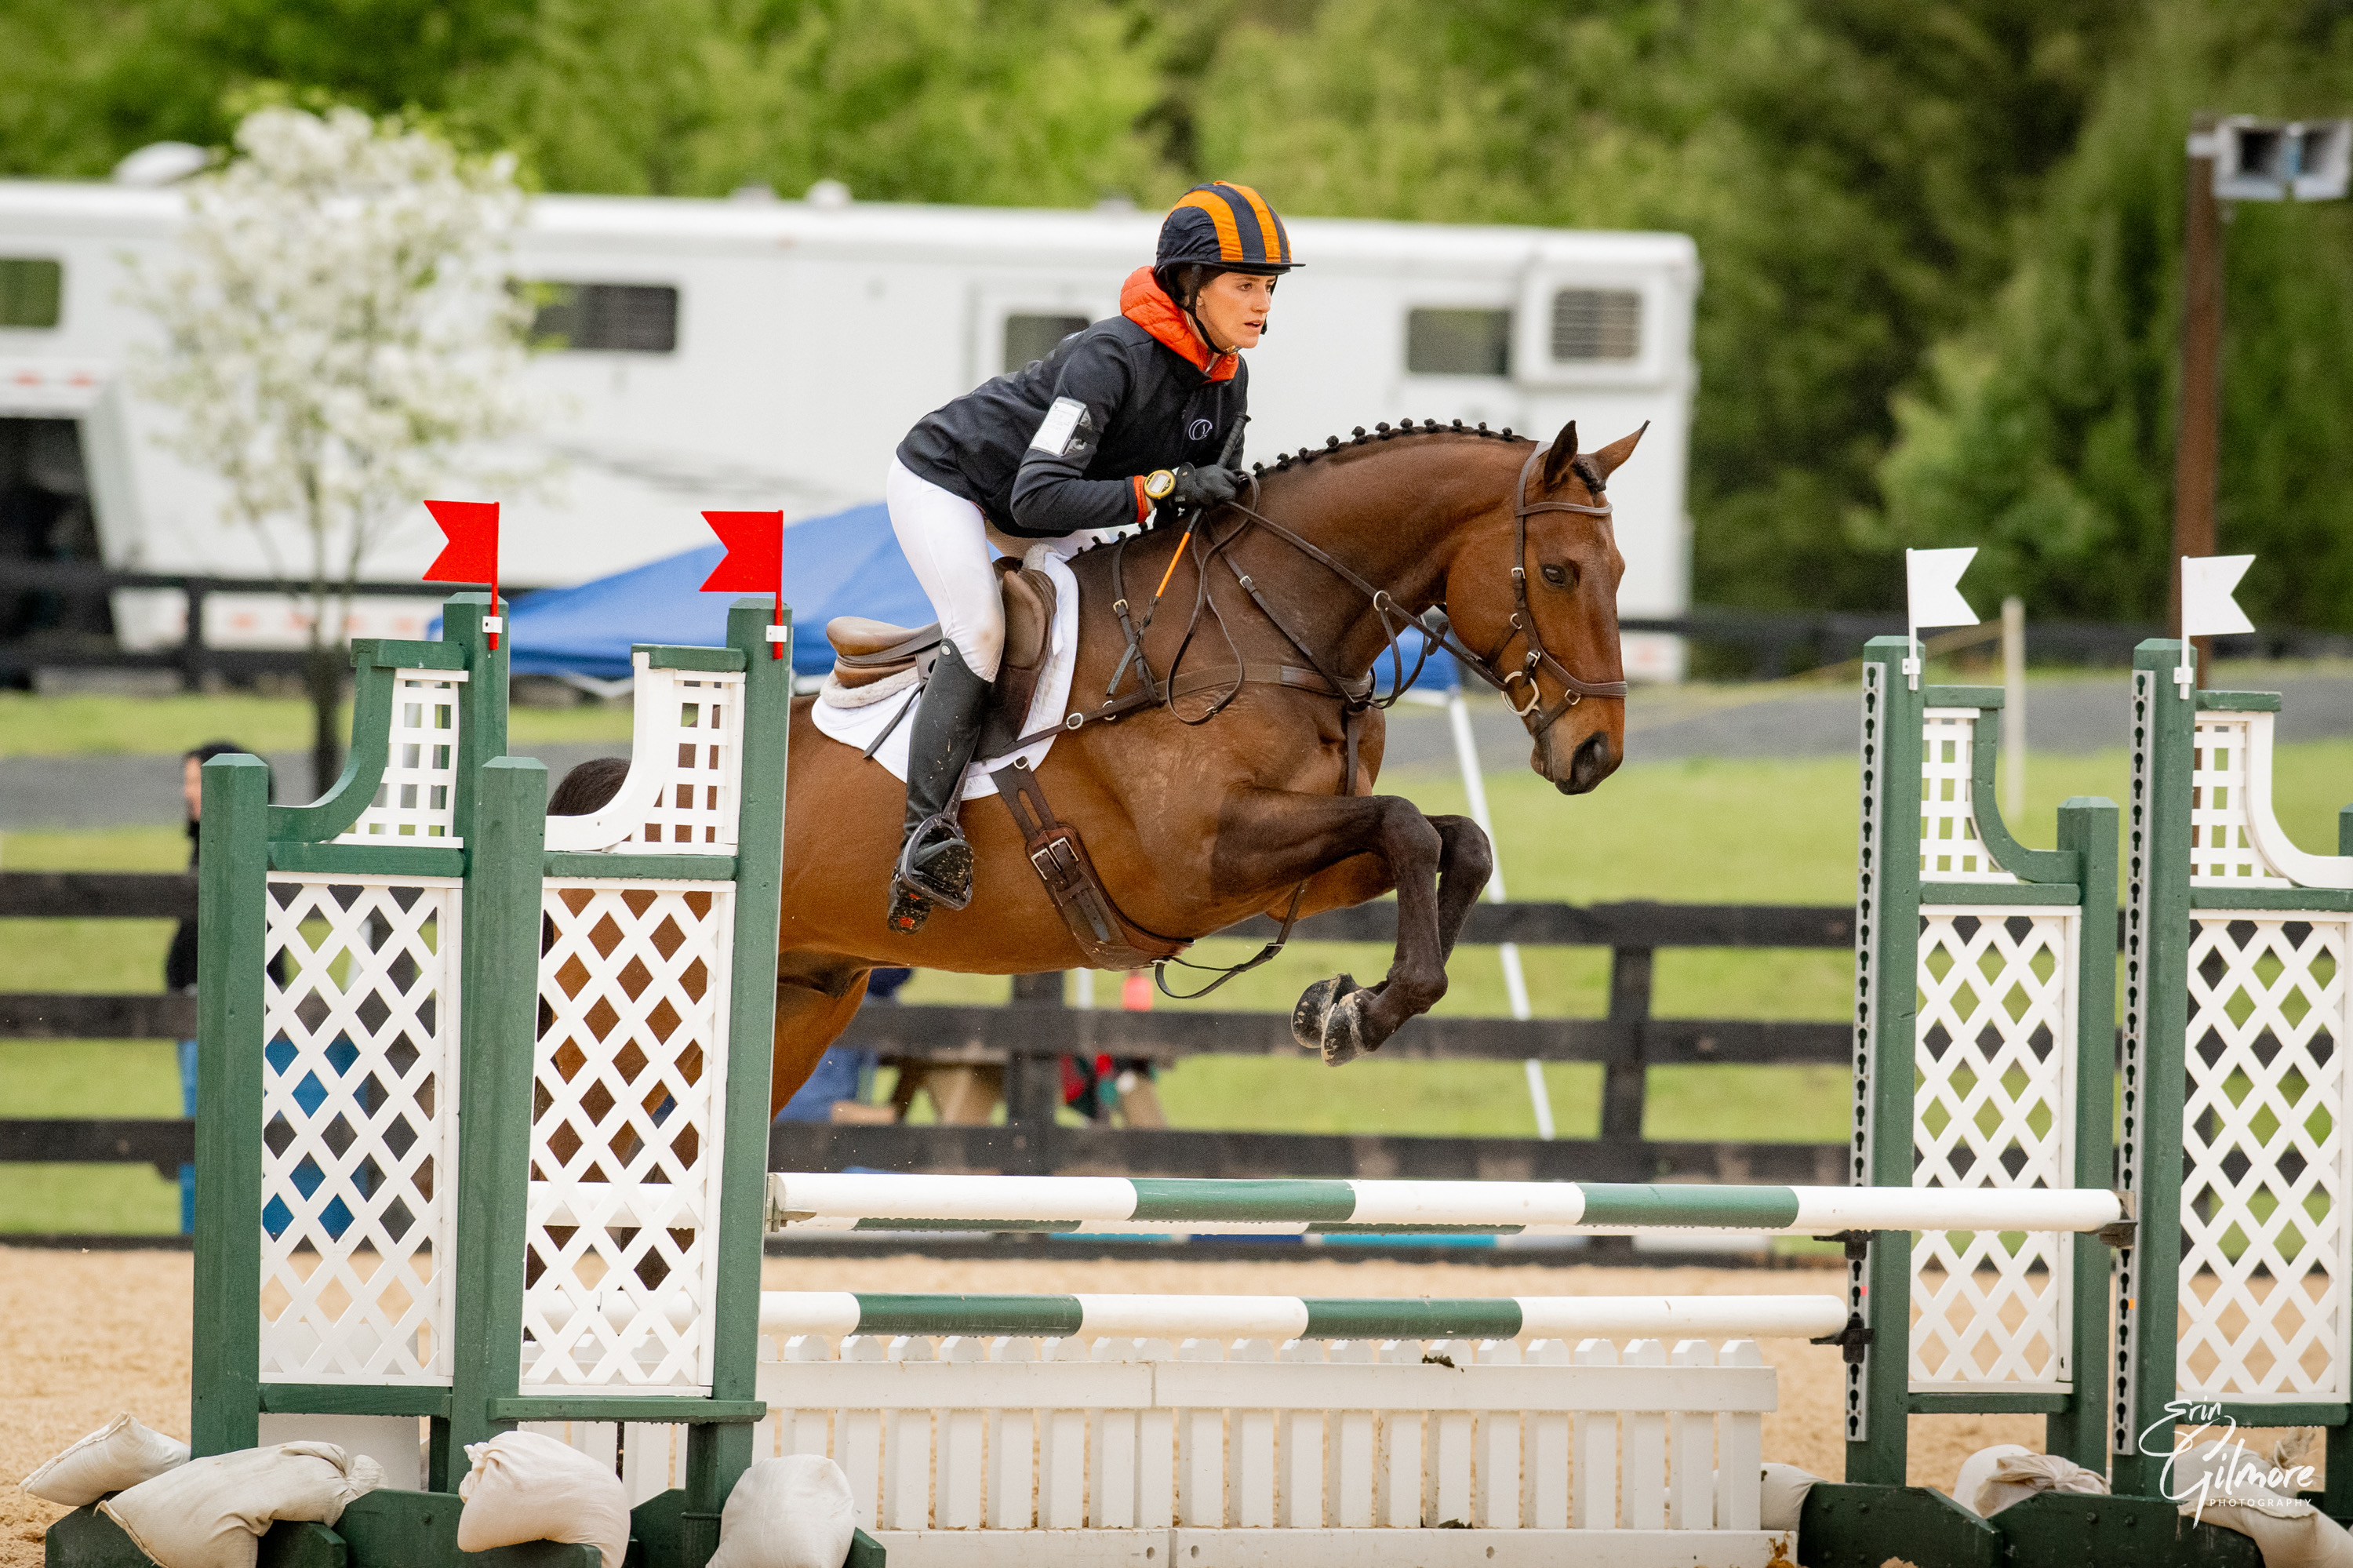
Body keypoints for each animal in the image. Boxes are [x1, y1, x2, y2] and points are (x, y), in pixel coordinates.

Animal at [769, 418, 1641, 1115]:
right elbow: (1407, 826)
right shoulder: (1202, 858)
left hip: (805, 1001)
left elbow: (1457, 841)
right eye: (1557, 572)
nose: (1597, 751)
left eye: (1622, 573)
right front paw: (1358, 1011)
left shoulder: (1294, 872)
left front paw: (1347, 1007)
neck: (1263, 628)